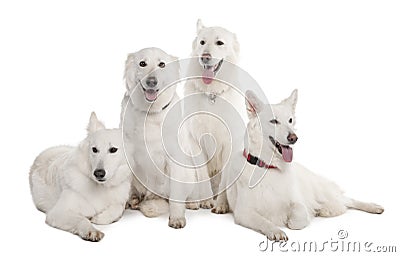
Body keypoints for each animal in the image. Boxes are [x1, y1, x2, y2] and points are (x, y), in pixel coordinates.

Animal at [30, 111, 133, 240]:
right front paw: (91, 230)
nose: (98, 173)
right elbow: (82, 219)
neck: (100, 187)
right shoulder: (58, 213)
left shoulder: (118, 202)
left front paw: (99, 218)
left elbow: (118, 209)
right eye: (94, 149)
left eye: (113, 149)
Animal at [120, 47, 198, 227]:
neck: (150, 113)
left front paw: (176, 217)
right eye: (142, 63)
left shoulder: (175, 159)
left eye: (162, 64)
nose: (151, 82)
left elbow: (176, 196)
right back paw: (133, 200)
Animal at [216, 89, 384, 240]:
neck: (270, 168)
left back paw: (370, 207)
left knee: (347, 200)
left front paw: (291, 220)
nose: (293, 138)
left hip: (322, 191)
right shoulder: (244, 212)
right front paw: (276, 230)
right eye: (274, 121)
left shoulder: (298, 201)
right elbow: (264, 222)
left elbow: (300, 215)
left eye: (290, 120)